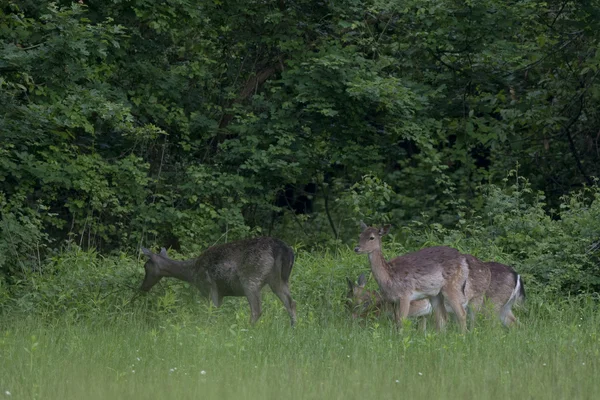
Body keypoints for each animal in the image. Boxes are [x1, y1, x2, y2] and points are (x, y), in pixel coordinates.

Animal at [141, 236, 300, 326]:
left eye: (146, 266)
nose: (143, 287)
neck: (192, 272)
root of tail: (284, 249)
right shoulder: (221, 293)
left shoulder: (209, 286)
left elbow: (211, 312)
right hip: (279, 279)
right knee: (291, 303)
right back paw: (293, 329)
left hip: (251, 279)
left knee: (257, 310)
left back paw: (248, 329)